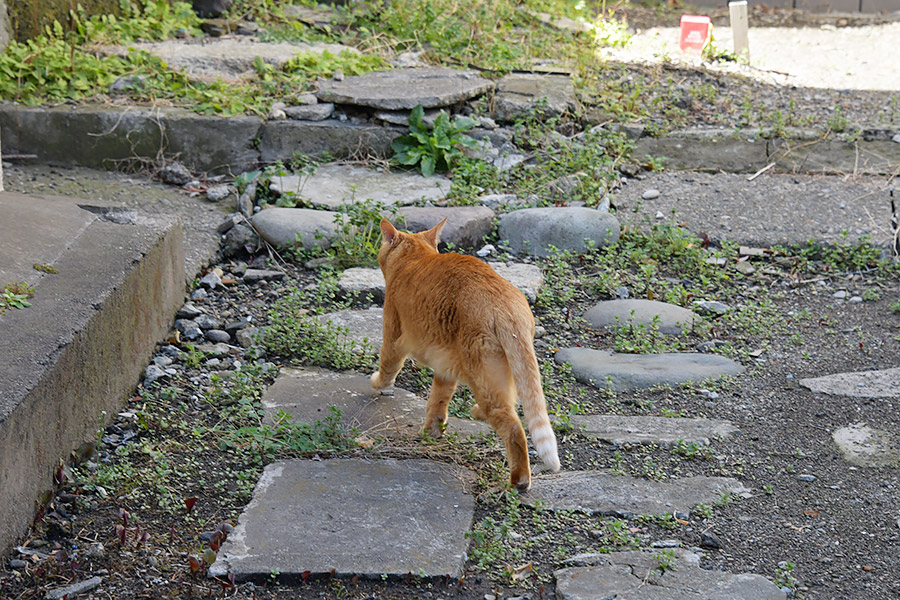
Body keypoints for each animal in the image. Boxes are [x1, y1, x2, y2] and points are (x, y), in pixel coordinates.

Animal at [370, 218, 560, 490]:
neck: (414, 259)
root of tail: (507, 306)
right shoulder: (445, 366)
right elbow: (438, 401)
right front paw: (432, 432)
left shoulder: (393, 335)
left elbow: (387, 367)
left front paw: (378, 384)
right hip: (505, 367)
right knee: (512, 402)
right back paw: (477, 412)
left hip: (482, 375)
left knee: (513, 426)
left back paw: (519, 482)